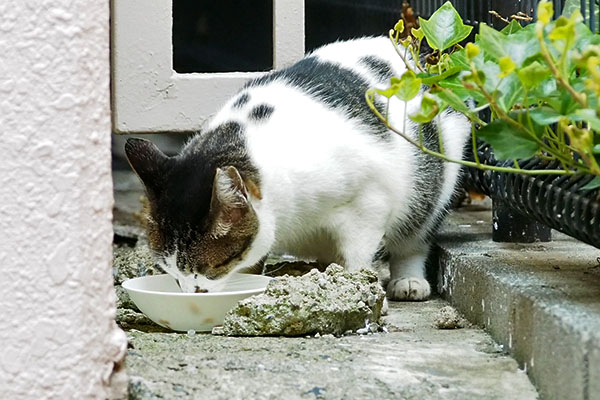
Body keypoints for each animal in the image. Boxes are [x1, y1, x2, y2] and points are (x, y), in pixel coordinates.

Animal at [126, 36, 472, 300]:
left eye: (214, 265)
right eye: (169, 271)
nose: (191, 293)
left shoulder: (369, 200)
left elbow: (360, 255)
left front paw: (359, 289)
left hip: (435, 181)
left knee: (414, 237)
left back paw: (408, 280)